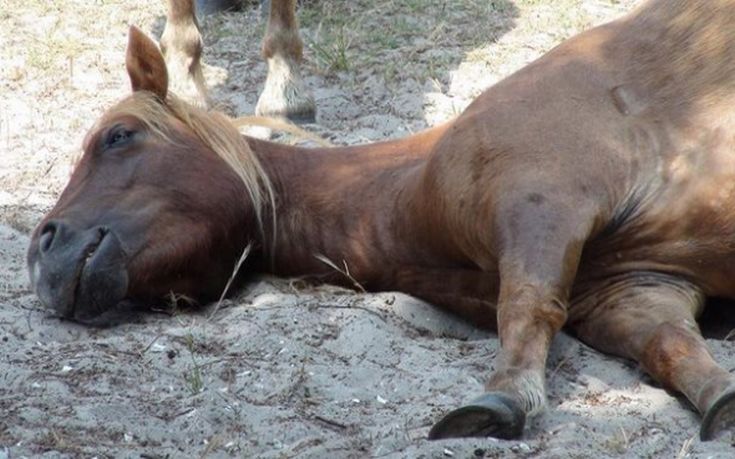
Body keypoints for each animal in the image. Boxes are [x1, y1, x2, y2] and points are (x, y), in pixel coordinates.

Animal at [30, 0, 735, 444]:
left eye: (118, 136)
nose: (42, 246)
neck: (409, 185)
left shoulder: (541, 202)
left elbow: (527, 305)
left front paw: (502, 399)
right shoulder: (637, 289)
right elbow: (670, 346)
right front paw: (721, 399)